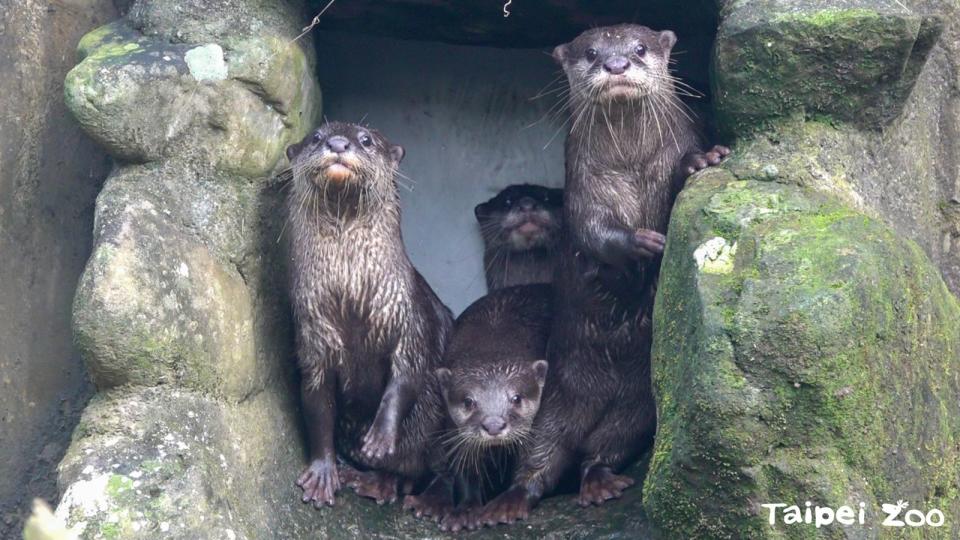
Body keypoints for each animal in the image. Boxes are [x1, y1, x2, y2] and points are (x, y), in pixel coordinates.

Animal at [286, 121, 452, 506]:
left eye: (366, 139)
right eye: (315, 138)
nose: (337, 143)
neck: (352, 298)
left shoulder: (408, 318)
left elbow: (407, 376)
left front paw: (378, 439)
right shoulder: (314, 334)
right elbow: (316, 403)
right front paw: (322, 473)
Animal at [402, 286, 552, 532]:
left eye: (517, 398)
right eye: (468, 402)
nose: (493, 424)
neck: (495, 331)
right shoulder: (454, 431)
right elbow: (465, 471)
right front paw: (466, 511)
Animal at [476, 25, 732, 528]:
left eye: (640, 47)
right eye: (592, 51)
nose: (616, 65)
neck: (631, 166)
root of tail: (592, 406)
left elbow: (676, 185)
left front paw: (701, 160)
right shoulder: (584, 187)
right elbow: (594, 233)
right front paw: (639, 242)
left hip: (634, 408)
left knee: (603, 448)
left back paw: (598, 482)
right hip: (552, 404)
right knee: (538, 458)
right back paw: (509, 501)